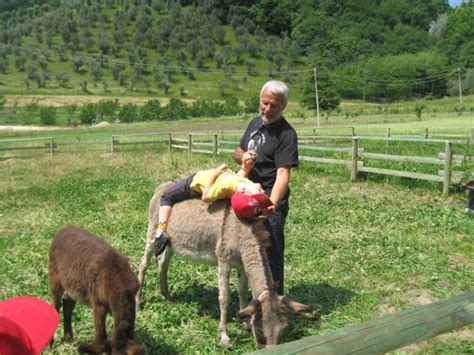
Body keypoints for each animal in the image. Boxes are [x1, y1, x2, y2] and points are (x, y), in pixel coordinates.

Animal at [134, 184, 312, 350]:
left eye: (284, 330)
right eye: (261, 331)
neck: (241, 230)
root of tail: (162, 186)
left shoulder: (242, 266)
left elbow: (243, 293)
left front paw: (245, 323)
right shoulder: (224, 261)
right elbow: (224, 298)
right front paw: (225, 338)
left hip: (171, 243)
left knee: (163, 262)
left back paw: (167, 295)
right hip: (152, 234)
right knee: (144, 264)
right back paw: (137, 303)